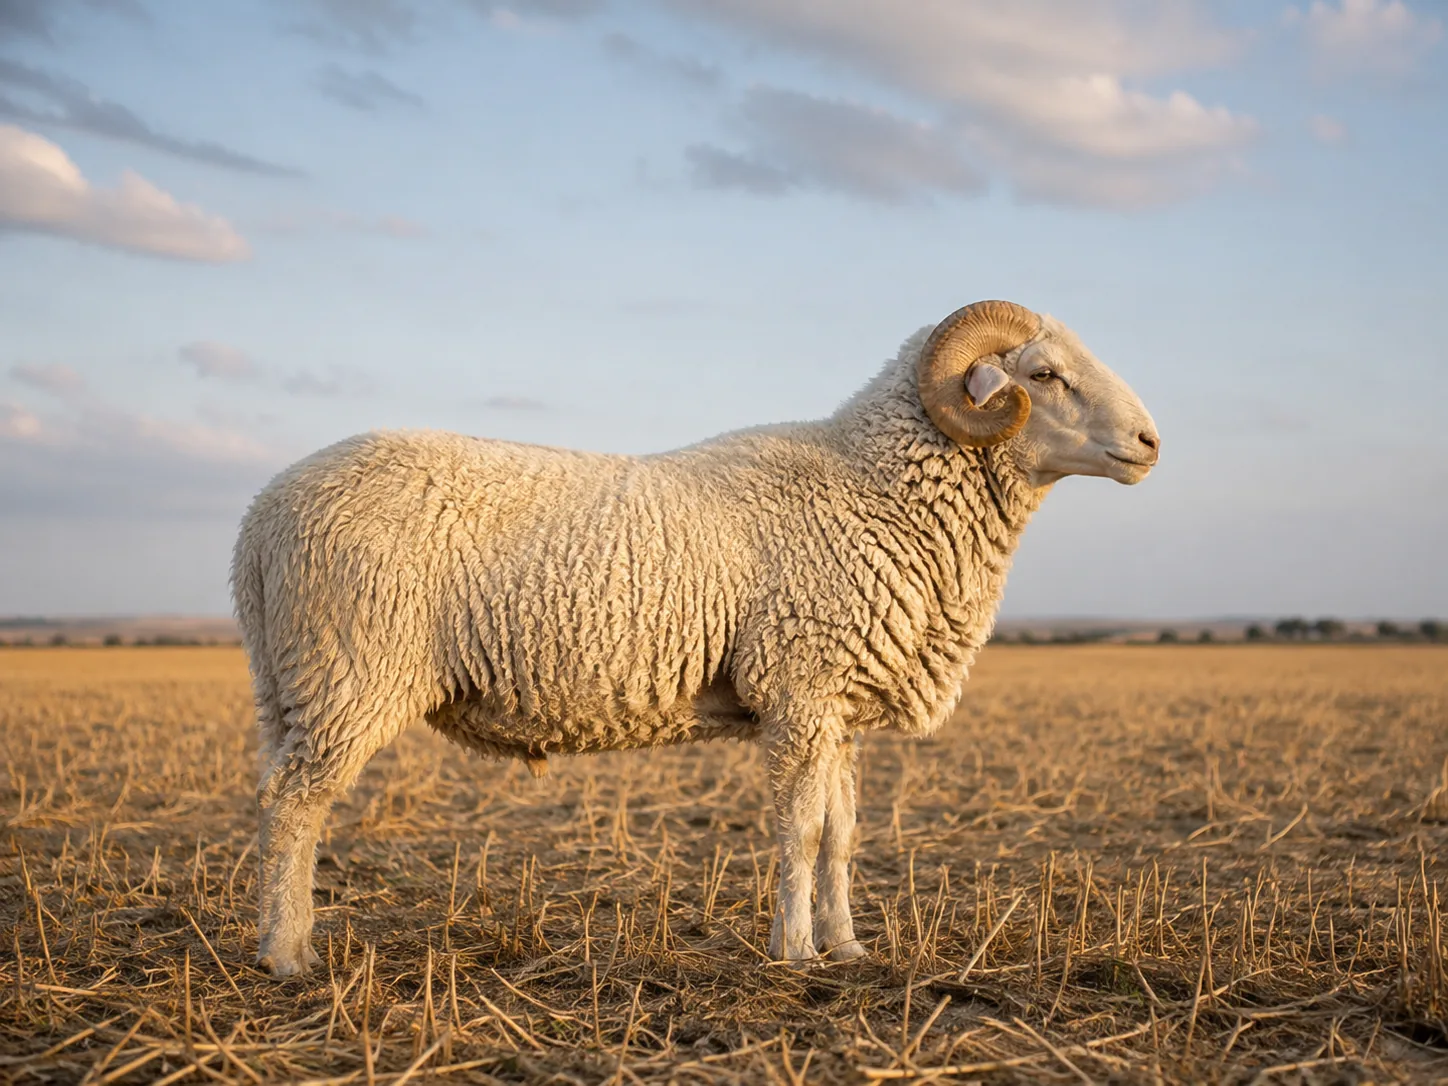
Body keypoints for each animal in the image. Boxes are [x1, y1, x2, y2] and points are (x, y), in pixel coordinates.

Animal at [232, 300, 1160, 976]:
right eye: (1043, 373)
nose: (1151, 442)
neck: (873, 489)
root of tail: (262, 518)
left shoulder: (838, 709)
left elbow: (842, 835)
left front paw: (850, 946)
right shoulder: (797, 692)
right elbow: (800, 831)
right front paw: (795, 953)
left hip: (288, 683)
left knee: (282, 798)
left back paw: (293, 941)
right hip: (351, 673)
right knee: (295, 806)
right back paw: (287, 958)